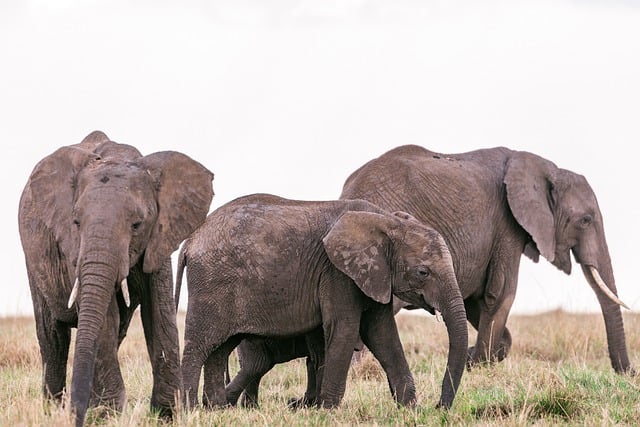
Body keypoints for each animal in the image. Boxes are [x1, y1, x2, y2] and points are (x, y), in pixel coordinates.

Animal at [18, 131, 215, 427]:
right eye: (76, 222)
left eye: (136, 225)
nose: (76, 415)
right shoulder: (72, 247)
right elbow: (104, 317)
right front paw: (109, 415)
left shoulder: (160, 236)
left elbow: (160, 310)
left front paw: (167, 414)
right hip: (33, 259)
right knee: (53, 336)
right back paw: (52, 410)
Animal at [178, 194, 468, 412]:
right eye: (423, 272)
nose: (438, 407)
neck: (386, 221)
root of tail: (190, 241)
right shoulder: (336, 273)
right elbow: (345, 329)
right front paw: (328, 411)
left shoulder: (373, 275)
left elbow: (382, 334)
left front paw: (410, 410)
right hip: (210, 284)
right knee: (200, 346)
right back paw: (190, 411)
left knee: (220, 349)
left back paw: (216, 410)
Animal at [342, 145, 632, 374]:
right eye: (585, 220)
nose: (627, 373)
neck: (545, 167)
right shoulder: (507, 224)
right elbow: (500, 293)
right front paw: (478, 362)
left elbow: (475, 300)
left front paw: (474, 357)